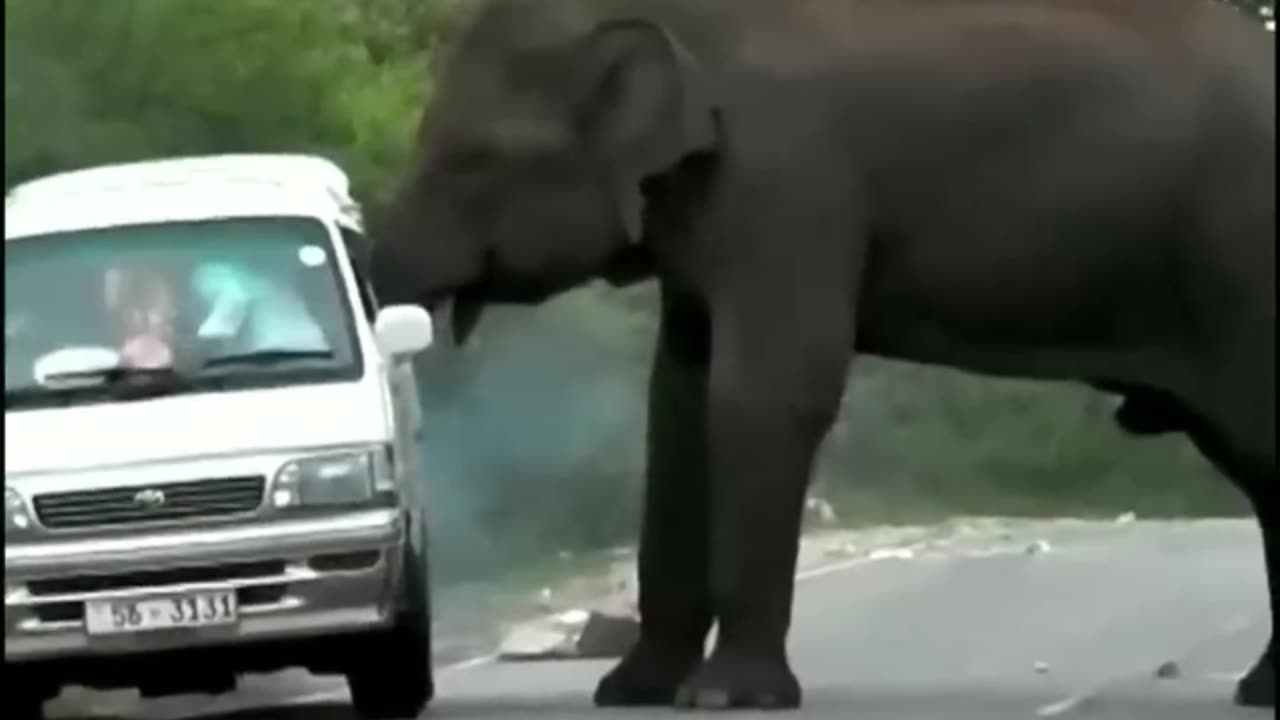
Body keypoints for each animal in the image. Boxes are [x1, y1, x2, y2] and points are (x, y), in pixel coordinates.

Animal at [370, 0, 1276, 710]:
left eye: (473, 159)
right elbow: (679, 402)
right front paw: (631, 692)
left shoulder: (787, 182)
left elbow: (764, 394)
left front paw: (728, 699)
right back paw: (1261, 687)